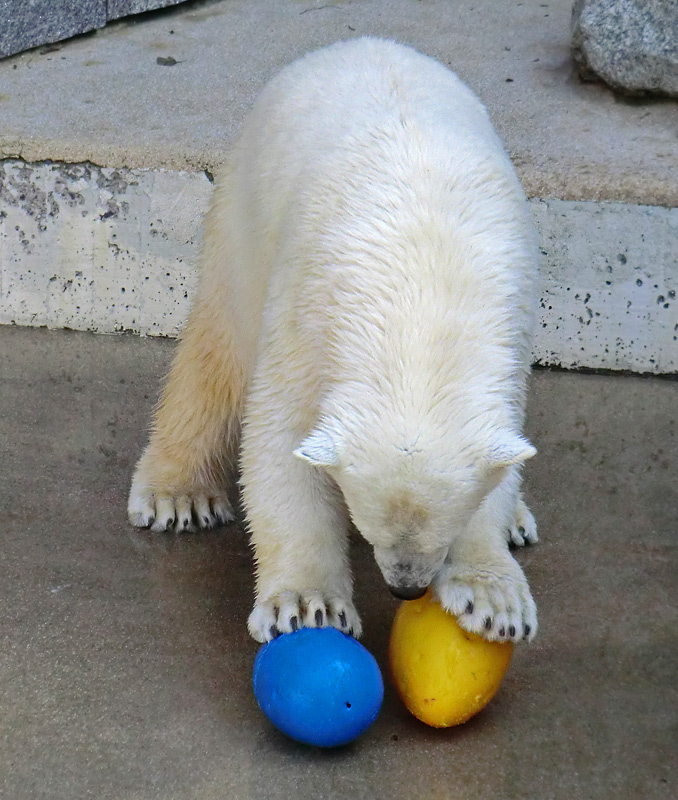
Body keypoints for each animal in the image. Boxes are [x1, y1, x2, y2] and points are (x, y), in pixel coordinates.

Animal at [127, 39, 540, 644]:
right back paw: (176, 494)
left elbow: (501, 457)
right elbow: (281, 438)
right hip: (243, 215)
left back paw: (519, 521)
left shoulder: (506, 333)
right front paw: (306, 605)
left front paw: (493, 598)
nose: (406, 587)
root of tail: (356, 43)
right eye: (371, 528)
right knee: (217, 351)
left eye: (445, 530)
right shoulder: (311, 305)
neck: (420, 307)